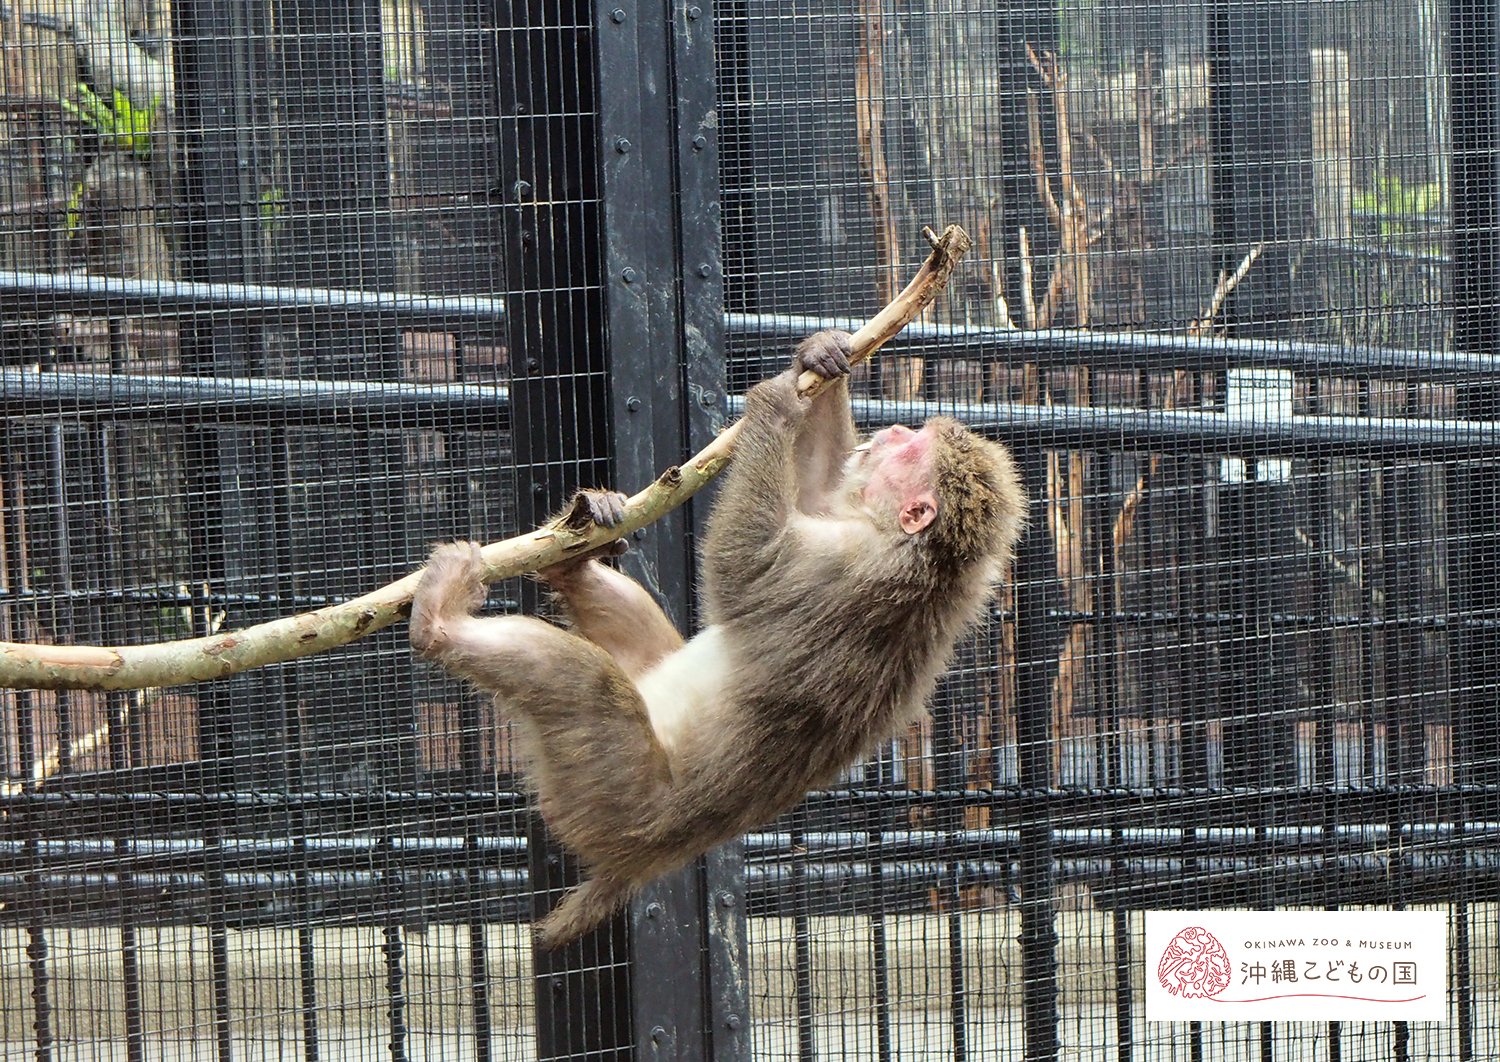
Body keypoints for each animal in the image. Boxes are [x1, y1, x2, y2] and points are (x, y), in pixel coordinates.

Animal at [405, 331, 1026, 948]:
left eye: (910, 451)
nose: (896, 431)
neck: (923, 559)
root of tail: (635, 862)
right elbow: (816, 496)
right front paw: (822, 359)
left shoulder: (836, 566)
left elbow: (739, 562)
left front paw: (775, 410)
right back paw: (576, 549)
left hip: (609, 794)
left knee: (586, 685)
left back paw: (440, 623)